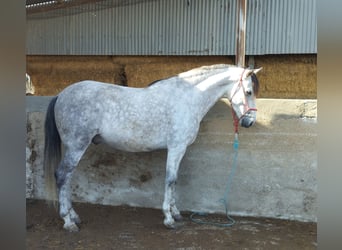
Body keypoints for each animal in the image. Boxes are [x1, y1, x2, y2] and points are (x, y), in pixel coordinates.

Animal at [43, 64, 262, 230]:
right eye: (248, 91)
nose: (249, 122)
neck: (188, 97)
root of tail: (61, 95)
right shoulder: (176, 148)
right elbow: (170, 180)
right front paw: (169, 219)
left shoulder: (180, 150)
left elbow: (175, 180)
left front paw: (176, 213)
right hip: (77, 146)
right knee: (62, 176)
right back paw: (68, 222)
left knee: (67, 178)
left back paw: (74, 216)